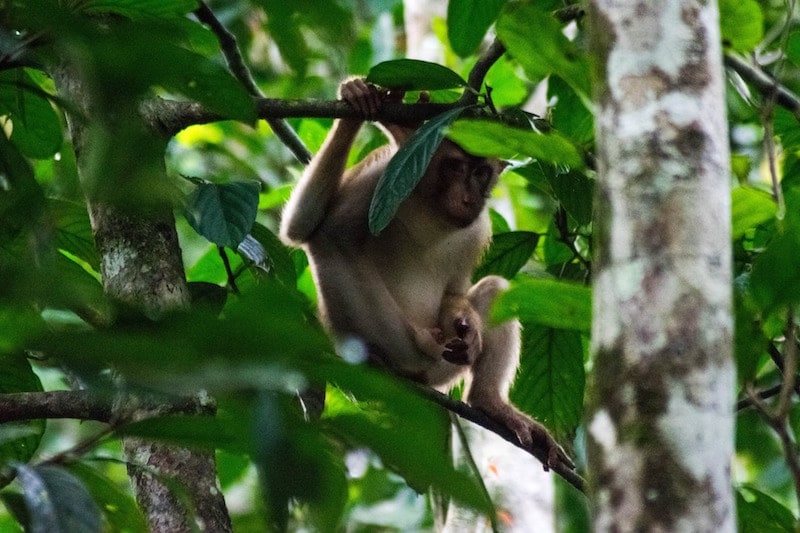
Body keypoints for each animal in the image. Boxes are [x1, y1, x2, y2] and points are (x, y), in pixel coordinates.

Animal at [278, 78, 572, 470]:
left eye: (480, 172)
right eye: (456, 167)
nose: (468, 199)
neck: (431, 208)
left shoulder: (476, 228)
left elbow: (457, 290)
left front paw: (464, 320)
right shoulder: (386, 176)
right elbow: (302, 228)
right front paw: (359, 101)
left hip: (442, 371)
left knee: (496, 289)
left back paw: (489, 402)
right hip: (398, 348)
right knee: (330, 240)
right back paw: (385, 354)